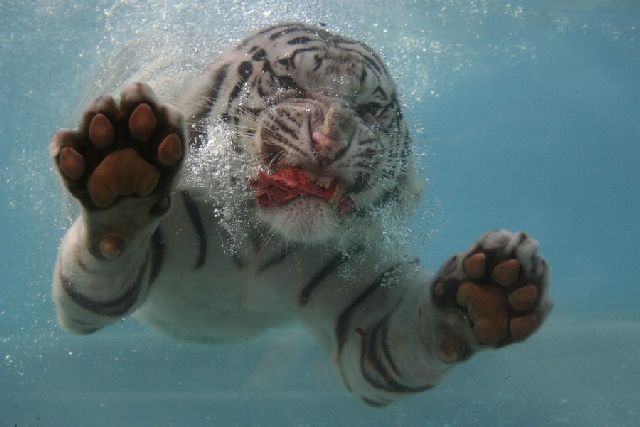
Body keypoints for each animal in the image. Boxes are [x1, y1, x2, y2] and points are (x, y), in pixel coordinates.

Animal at [50, 24, 552, 408]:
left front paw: (489, 293)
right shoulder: (107, 282)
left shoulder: (369, 306)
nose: (331, 140)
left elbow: (415, 334)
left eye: (370, 108)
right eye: (291, 85)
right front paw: (123, 174)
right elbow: (111, 248)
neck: (261, 244)